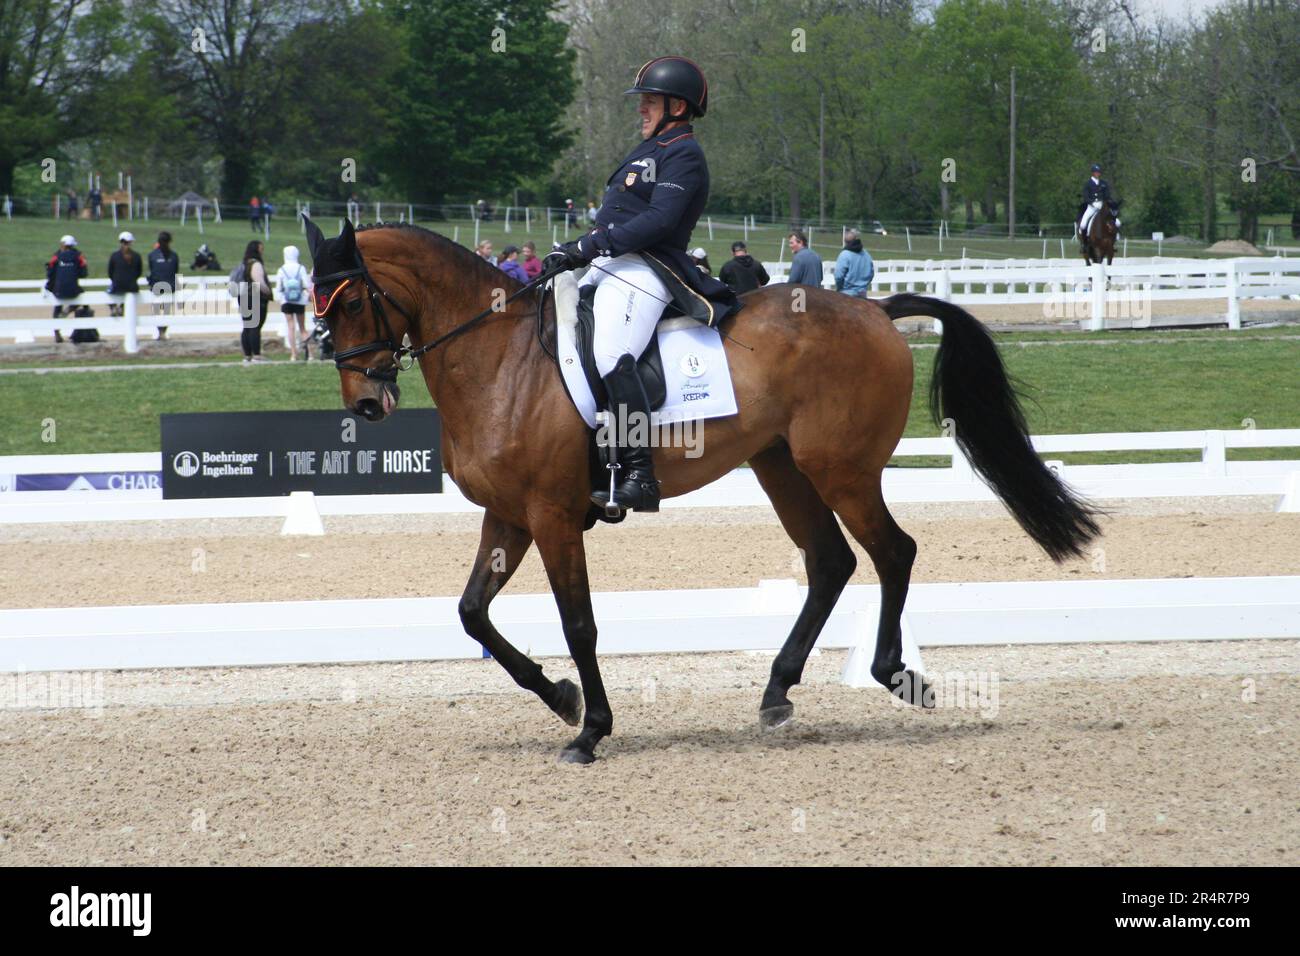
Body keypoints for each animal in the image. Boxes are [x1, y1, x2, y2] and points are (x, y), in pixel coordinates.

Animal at [304, 217, 1097, 764]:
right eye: (319, 309)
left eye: (351, 303)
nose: (365, 404)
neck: (499, 358)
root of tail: (872, 310)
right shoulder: (509, 516)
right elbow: (472, 613)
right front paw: (561, 699)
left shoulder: (551, 515)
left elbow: (579, 623)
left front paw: (590, 731)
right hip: (782, 467)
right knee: (831, 561)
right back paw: (777, 691)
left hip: (840, 470)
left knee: (892, 552)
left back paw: (893, 673)